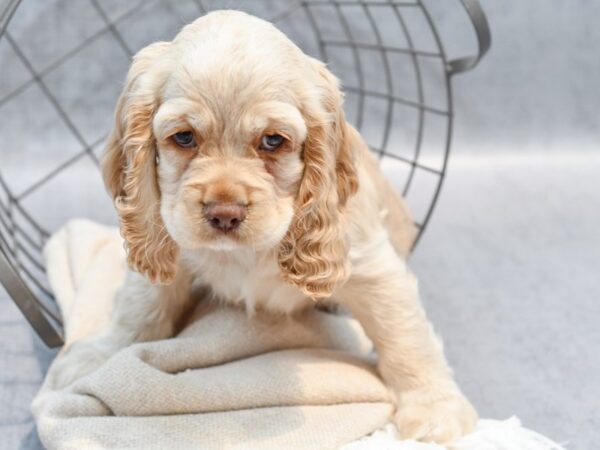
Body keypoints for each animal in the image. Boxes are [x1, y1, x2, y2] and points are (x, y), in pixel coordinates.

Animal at [56, 11, 478, 446]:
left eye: (273, 140)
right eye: (184, 137)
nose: (224, 213)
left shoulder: (371, 266)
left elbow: (403, 334)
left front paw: (434, 409)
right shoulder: (169, 243)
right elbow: (139, 309)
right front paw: (101, 356)